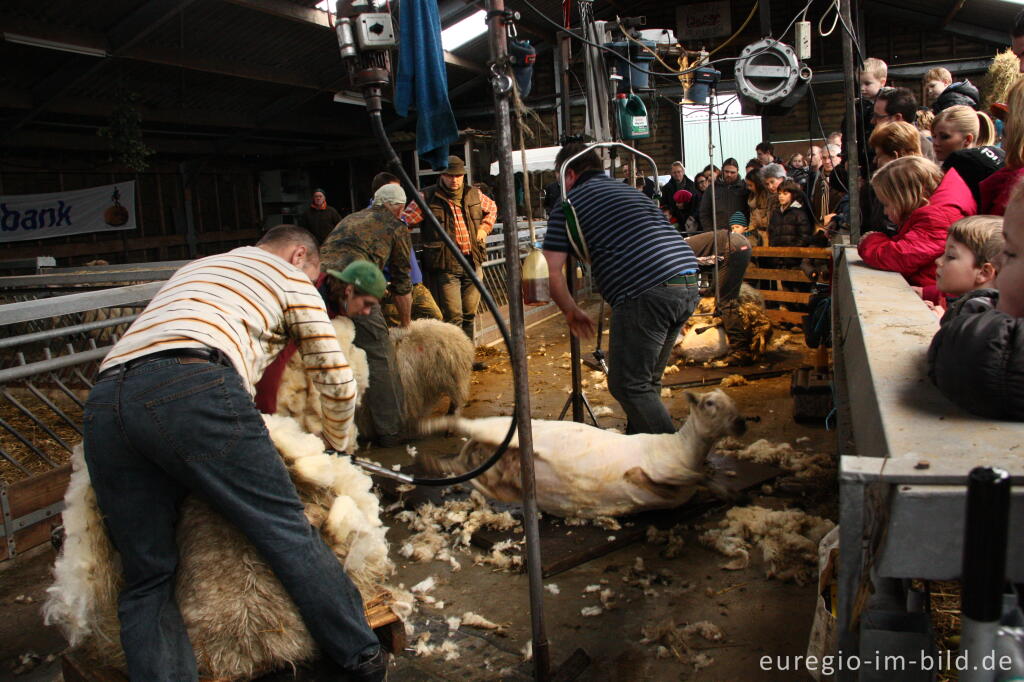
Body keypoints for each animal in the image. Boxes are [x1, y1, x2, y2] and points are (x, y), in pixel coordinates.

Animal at [419, 387, 749, 516]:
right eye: (709, 403)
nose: (742, 423)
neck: (684, 447)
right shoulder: (663, 467)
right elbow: (699, 477)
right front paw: (729, 491)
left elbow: (699, 478)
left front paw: (729, 492)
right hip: (494, 429)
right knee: (460, 425)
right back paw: (429, 425)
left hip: (494, 479)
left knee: (460, 467)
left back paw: (432, 462)